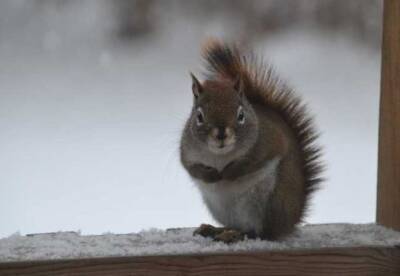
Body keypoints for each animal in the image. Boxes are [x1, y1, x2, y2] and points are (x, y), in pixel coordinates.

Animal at [180, 39, 324, 244]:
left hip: (269, 203)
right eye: (199, 116)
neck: (220, 156)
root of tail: (290, 221)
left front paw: (229, 173)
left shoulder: (270, 141)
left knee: (260, 233)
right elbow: (190, 167)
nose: (221, 134)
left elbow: (251, 163)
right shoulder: (187, 151)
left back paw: (235, 234)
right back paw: (214, 229)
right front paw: (211, 175)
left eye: (241, 115)